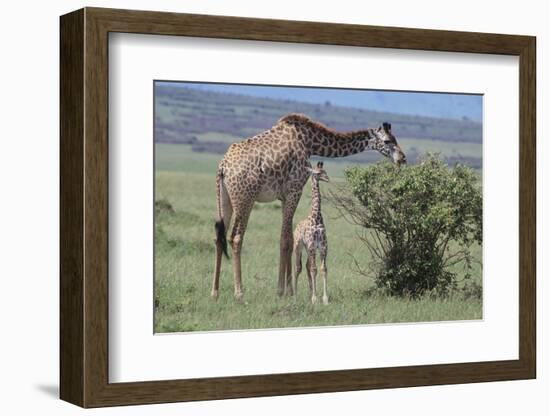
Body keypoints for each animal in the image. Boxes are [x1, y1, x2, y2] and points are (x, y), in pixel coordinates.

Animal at [294, 162, 332, 306]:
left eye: (325, 171)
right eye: (318, 173)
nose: (327, 178)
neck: (316, 218)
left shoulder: (322, 247)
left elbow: (323, 269)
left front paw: (324, 299)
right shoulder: (311, 246)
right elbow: (314, 269)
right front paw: (315, 299)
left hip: (308, 249)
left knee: (306, 266)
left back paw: (310, 292)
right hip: (298, 246)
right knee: (297, 267)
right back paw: (294, 295)